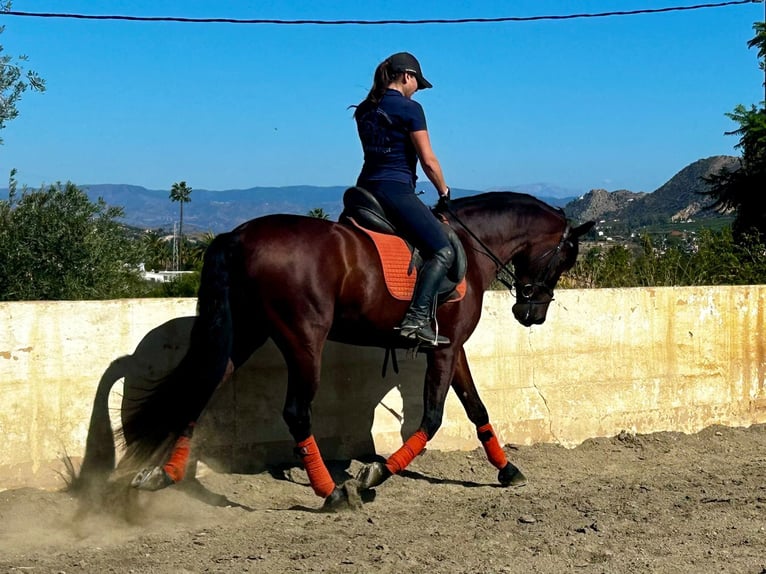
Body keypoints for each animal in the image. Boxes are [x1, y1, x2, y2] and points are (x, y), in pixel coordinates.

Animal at [79, 191, 592, 510]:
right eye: (564, 259)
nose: (532, 314)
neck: (468, 244)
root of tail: (237, 236)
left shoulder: (452, 347)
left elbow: (476, 407)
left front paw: (508, 469)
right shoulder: (443, 352)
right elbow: (432, 418)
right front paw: (374, 475)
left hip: (243, 333)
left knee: (203, 386)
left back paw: (162, 475)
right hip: (303, 339)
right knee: (295, 412)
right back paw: (331, 492)